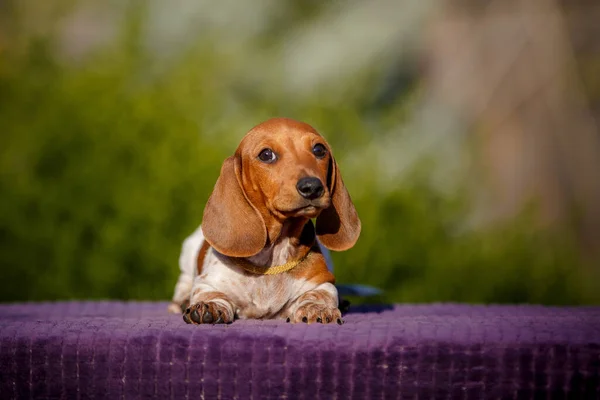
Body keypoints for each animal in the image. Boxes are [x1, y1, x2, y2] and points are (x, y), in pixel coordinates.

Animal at [169, 117, 358, 324]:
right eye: (266, 155)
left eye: (319, 150)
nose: (312, 187)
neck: (275, 251)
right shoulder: (208, 282)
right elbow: (210, 293)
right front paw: (208, 306)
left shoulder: (322, 282)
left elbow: (319, 294)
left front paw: (317, 308)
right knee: (183, 284)